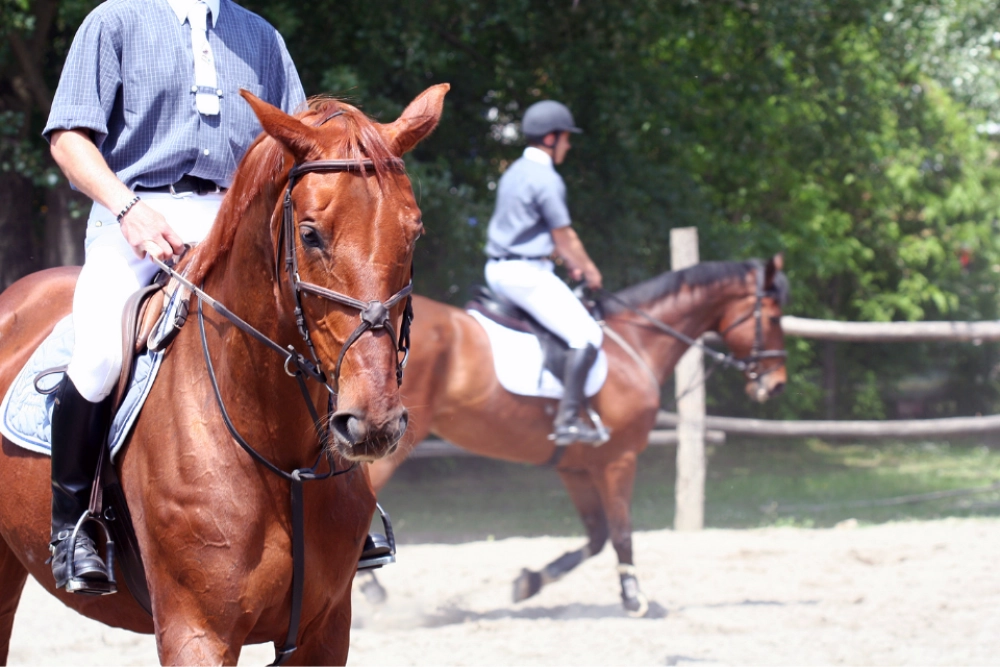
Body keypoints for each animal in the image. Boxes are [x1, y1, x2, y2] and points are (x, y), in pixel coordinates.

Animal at [0, 86, 450, 664]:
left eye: (414, 232)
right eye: (310, 235)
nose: (373, 422)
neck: (282, 456)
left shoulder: (324, 631)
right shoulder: (196, 632)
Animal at [364, 254, 792, 616]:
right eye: (773, 318)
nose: (775, 385)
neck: (635, 345)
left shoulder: (576, 468)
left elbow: (598, 535)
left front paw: (530, 582)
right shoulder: (619, 459)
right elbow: (621, 530)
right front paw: (634, 597)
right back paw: (372, 588)